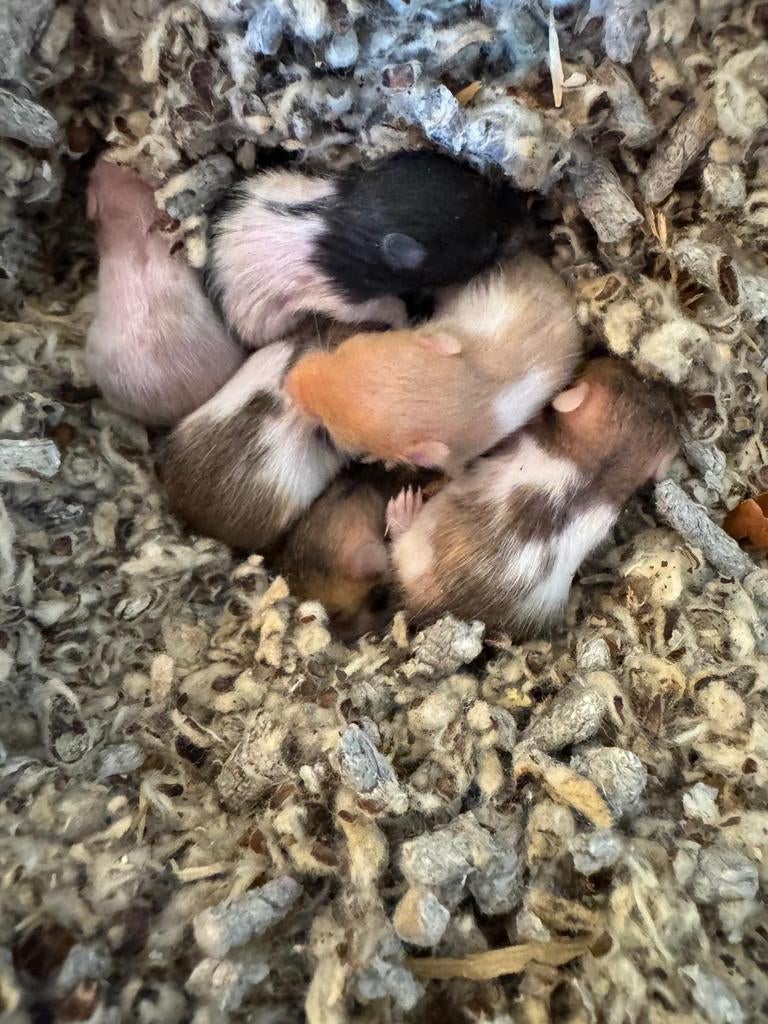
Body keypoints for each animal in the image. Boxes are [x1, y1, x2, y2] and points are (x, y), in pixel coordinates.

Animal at [205, 150, 510, 348]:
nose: (514, 214)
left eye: (478, 180)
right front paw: (409, 319)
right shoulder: (347, 300)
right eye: (489, 243)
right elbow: (388, 307)